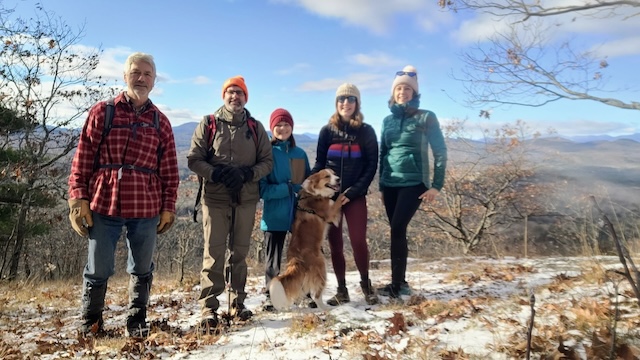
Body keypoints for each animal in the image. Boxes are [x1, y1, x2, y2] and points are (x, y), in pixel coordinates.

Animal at [268, 167, 344, 310]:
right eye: (327, 176)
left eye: (334, 173)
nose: (338, 179)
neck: (313, 194)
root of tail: (295, 260)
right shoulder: (331, 213)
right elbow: (339, 199)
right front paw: (346, 191)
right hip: (321, 267)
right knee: (317, 294)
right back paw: (325, 308)